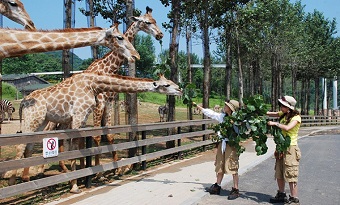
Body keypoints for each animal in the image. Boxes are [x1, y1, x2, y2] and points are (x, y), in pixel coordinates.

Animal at [9, 72, 181, 194]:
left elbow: (80, 146)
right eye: (166, 85)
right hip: (33, 118)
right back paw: (12, 182)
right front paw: (74, 185)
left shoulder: (83, 117)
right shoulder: (78, 115)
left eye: (172, 82)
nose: (180, 89)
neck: (92, 84)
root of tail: (23, 102)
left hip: (42, 120)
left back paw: (27, 180)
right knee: (20, 145)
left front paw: (80, 178)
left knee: (29, 146)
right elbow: (73, 148)